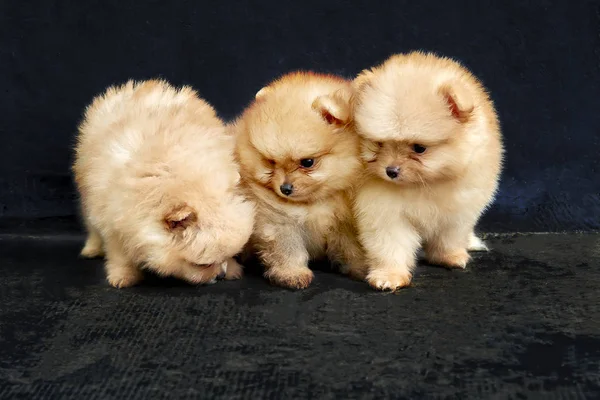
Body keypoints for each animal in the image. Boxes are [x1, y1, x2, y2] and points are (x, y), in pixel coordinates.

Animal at [74, 79, 254, 290]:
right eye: (203, 265)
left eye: (229, 255)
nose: (220, 275)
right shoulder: (115, 217)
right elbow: (119, 253)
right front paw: (123, 276)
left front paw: (232, 268)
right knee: (91, 225)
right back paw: (92, 248)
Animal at [233, 72, 366, 290]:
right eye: (271, 162)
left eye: (307, 162)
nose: (284, 188)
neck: (315, 202)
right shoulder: (278, 220)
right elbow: (288, 249)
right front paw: (292, 274)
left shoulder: (346, 221)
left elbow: (352, 247)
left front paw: (363, 268)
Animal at [354, 52, 504, 290]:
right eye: (379, 144)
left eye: (419, 148)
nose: (390, 171)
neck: (424, 184)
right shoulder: (385, 212)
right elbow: (389, 244)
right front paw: (390, 275)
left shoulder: (458, 210)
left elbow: (450, 237)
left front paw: (449, 256)